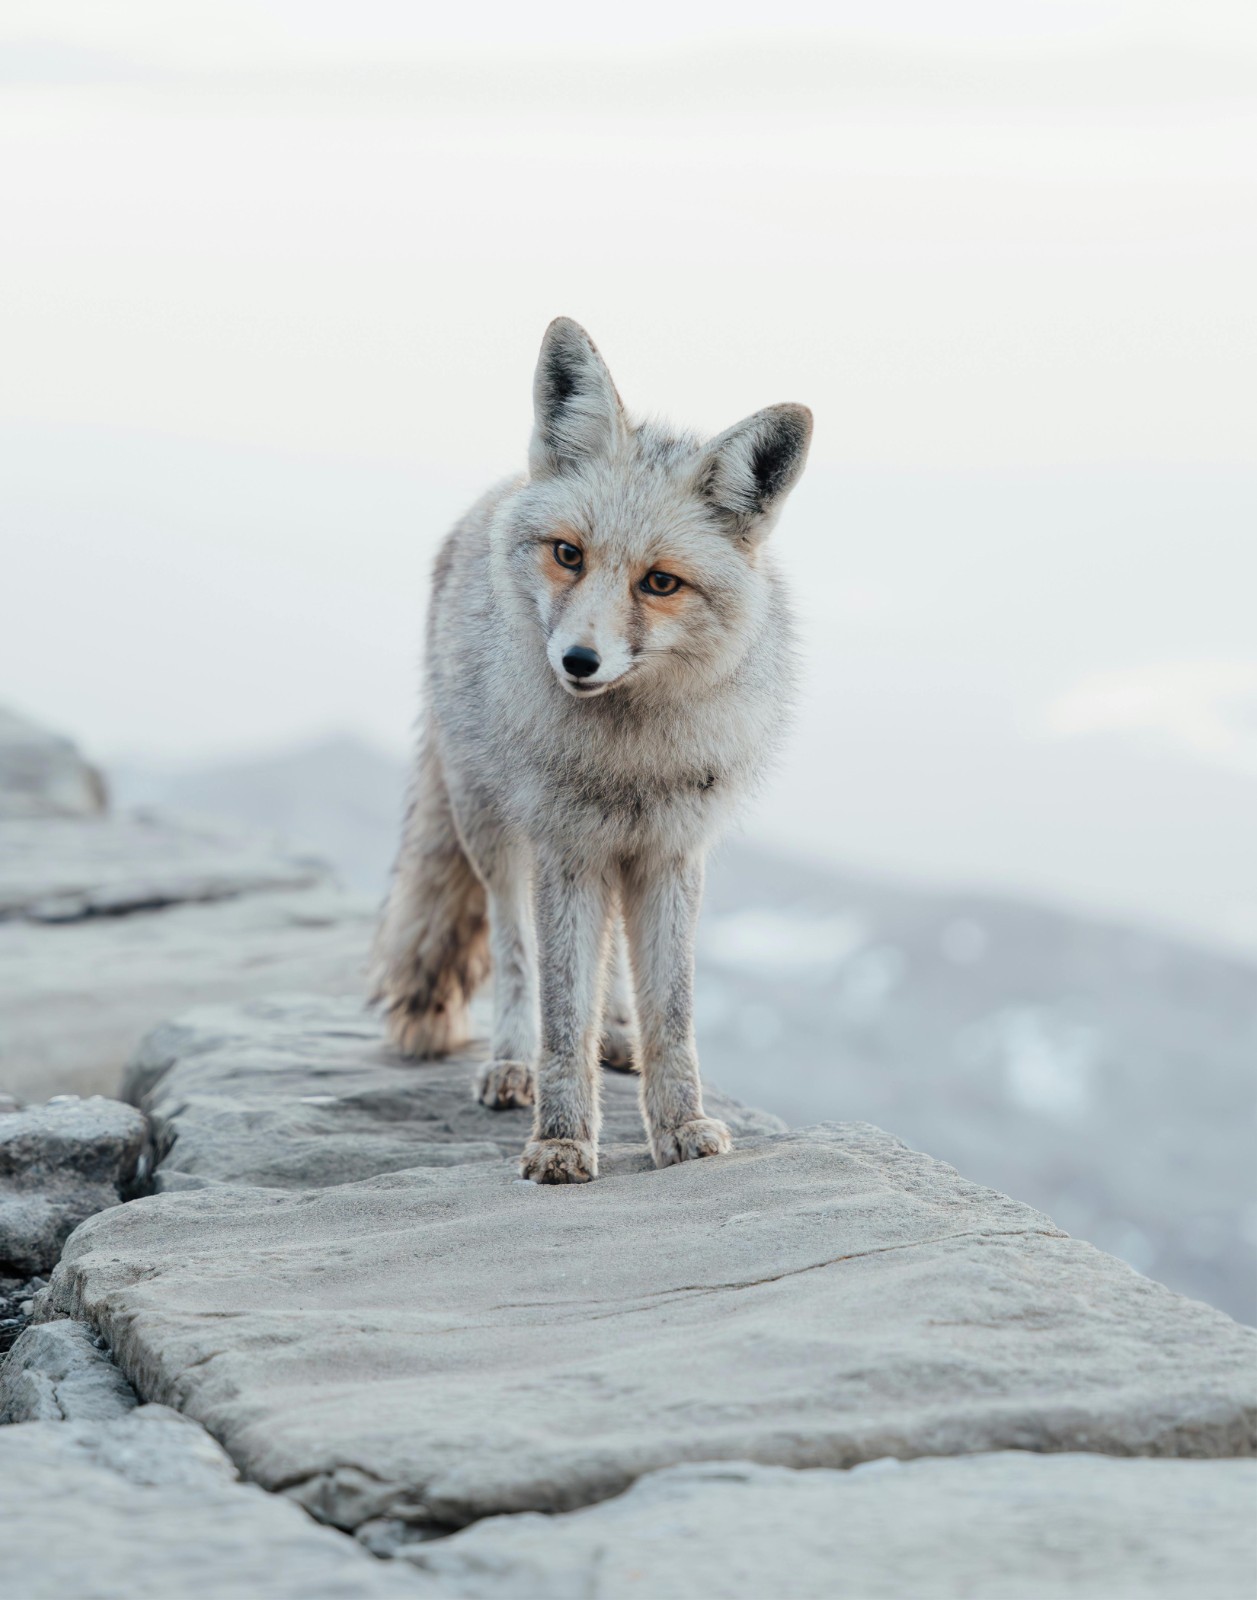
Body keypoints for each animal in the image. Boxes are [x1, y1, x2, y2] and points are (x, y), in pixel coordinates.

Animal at [371, 318, 811, 1183]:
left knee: (608, 964)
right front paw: (561, 1139)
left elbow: (670, 1011)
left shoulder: (670, 851)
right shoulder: (565, 849)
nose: (577, 661)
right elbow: (558, 1008)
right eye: (568, 554)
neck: (628, 759)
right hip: (488, 827)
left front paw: (681, 1125)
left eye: (660, 583)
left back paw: (617, 1037)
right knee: (514, 954)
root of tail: (499, 488)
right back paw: (511, 1064)